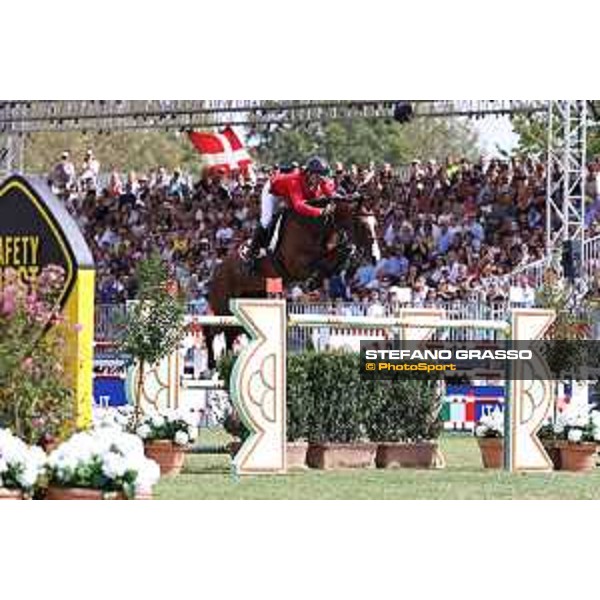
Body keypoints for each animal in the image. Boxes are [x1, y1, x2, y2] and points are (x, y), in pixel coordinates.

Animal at [204, 197, 382, 370]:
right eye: (362, 225)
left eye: (376, 225)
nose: (375, 257)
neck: (317, 227)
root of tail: (216, 271)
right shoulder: (297, 265)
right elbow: (329, 258)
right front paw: (315, 280)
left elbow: (342, 253)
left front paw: (332, 272)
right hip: (223, 307)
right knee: (211, 330)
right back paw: (212, 363)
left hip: (250, 298)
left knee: (230, 334)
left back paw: (228, 360)